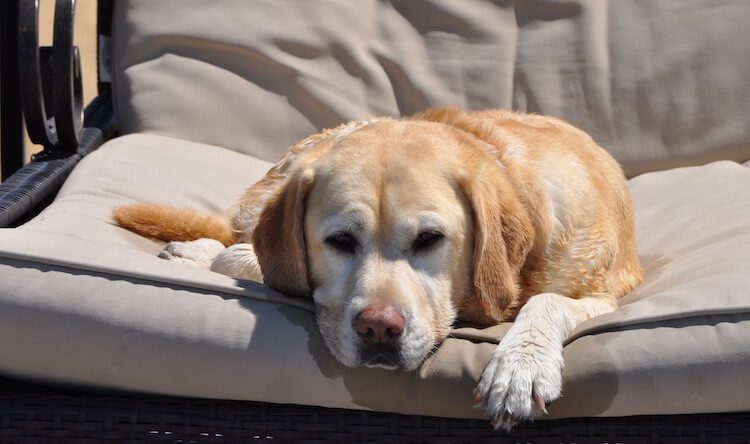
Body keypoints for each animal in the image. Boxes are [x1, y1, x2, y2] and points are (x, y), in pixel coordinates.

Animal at [114, 108, 644, 430]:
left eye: (430, 239)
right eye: (340, 242)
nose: (378, 329)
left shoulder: (605, 291)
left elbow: (547, 301)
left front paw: (519, 368)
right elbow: (251, 259)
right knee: (236, 237)